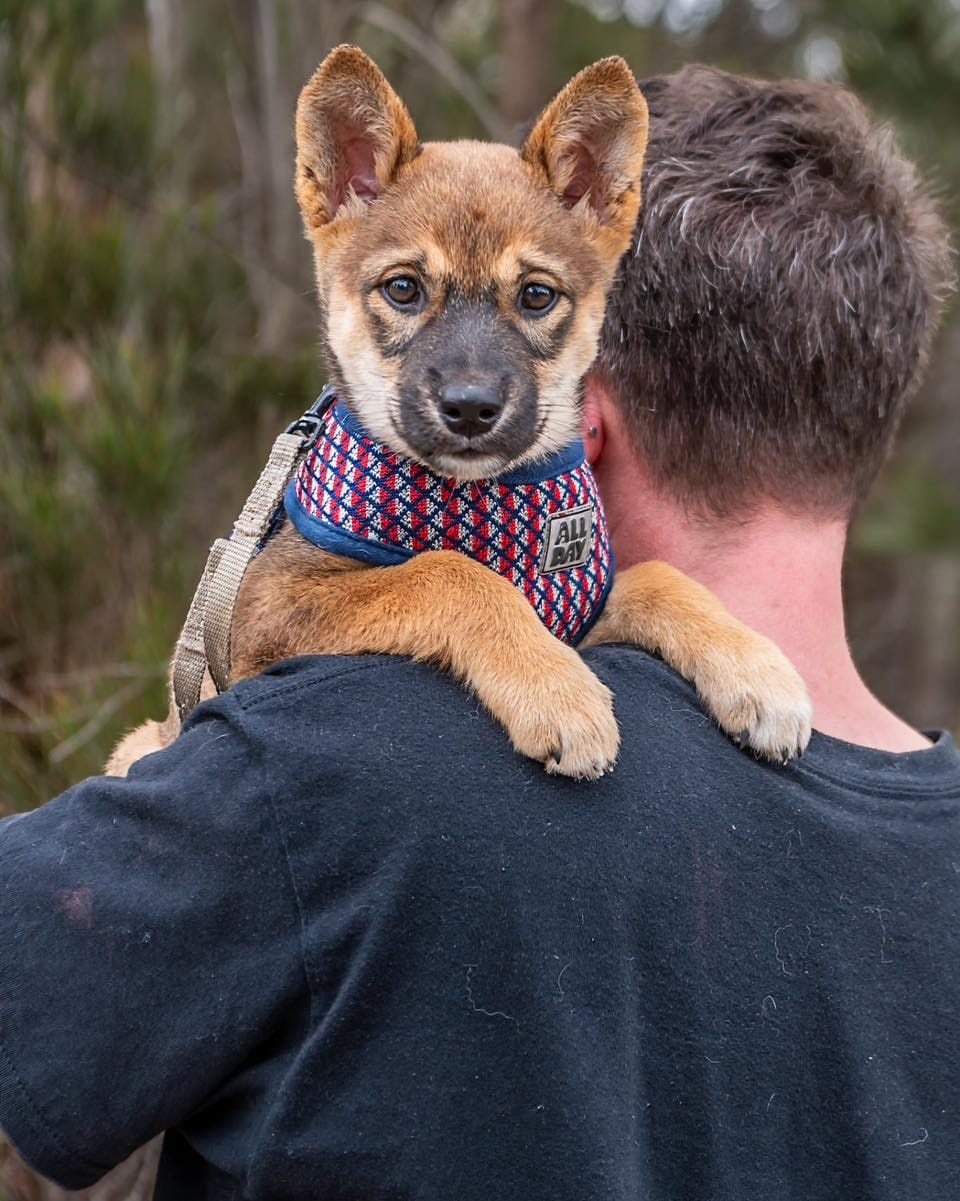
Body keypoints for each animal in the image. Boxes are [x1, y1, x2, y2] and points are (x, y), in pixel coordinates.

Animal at [109, 46, 811, 781]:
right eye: (403, 289)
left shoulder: (579, 611)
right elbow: (447, 573)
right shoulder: (265, 612)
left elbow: (659, 576)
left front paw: (755, 669)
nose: (471, 408)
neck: (486, 499)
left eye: (536, 295)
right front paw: (555, 690)